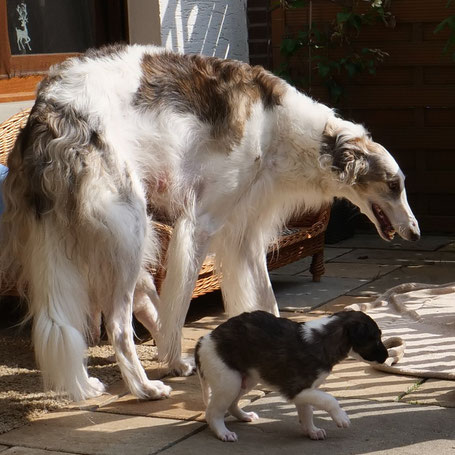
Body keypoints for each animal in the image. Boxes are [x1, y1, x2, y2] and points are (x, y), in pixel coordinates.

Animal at [0, 44, 420, 402]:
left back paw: (91, 383)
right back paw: (145, 387)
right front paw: (172, 358)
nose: (415, 233)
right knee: (119, 325)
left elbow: (267, 299)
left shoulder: (244, 235)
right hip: (128, 229)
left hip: (78, 240)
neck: (277, 125)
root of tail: (46, 109)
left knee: (87, 317)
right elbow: (180, 305)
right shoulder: (200, 223)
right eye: (393, 185)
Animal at [195, 312, 388, 444]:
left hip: (246, 379)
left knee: (232, 404)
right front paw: (341, 418)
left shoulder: (308, 390)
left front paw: (312, 431)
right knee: (213, 413)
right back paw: (223, 432)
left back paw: (244, 415)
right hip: (229, 381)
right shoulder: (295, 389)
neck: (324, 340)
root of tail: (203, 340)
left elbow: (307, 411)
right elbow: (329, 399)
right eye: (376, 339)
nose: (386, 357)